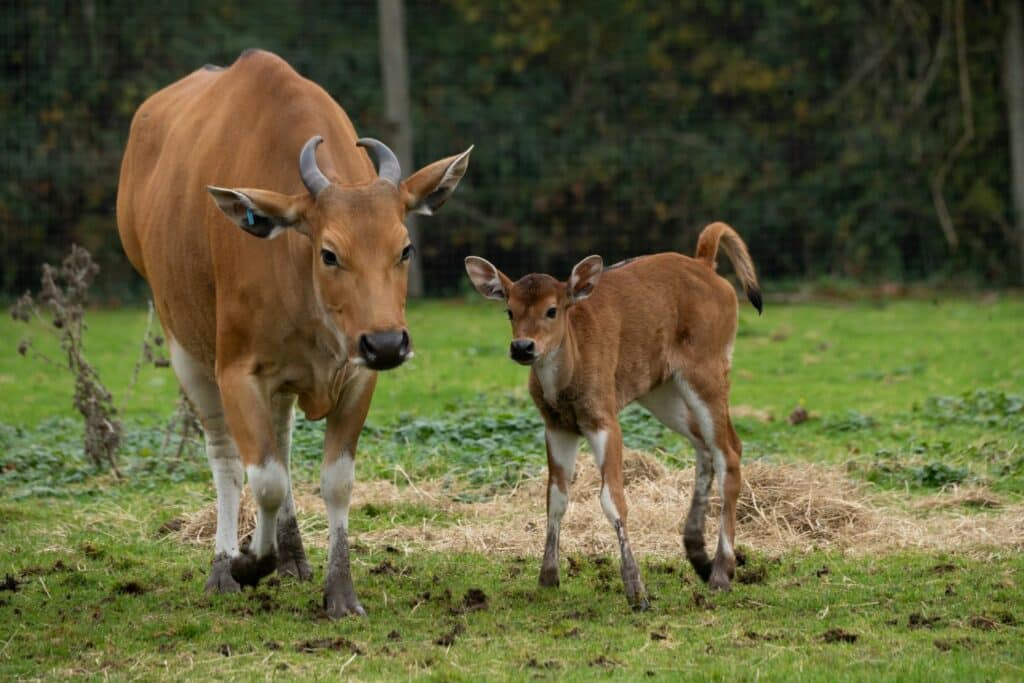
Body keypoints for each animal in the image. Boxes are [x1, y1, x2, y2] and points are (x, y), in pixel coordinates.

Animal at [117, 50, 473, 618]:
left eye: (405, 248)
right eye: (329, 253)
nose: (387, 344)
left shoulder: (356, 374)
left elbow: (334, 482)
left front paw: (339, 591)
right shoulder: (237, 371)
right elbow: (262, 479)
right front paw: (246, 561)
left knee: (279, 439)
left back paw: (292, 556)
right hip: (183, 346)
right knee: (227, 459)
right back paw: (224, 566)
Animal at [464, 223, 761, 610]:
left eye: (552, 310)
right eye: (509, 311)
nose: (523, 347)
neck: (568, 379)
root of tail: (707, 265)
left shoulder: (604, 417)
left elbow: (613, 499)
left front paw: (637, 591)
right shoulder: (556, 426)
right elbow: (556, 497)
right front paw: (547, 578)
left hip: (707, 369)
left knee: (729, 452)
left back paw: (722, 573)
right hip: (661, 389)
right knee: (706, 446)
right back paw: (699, 557)